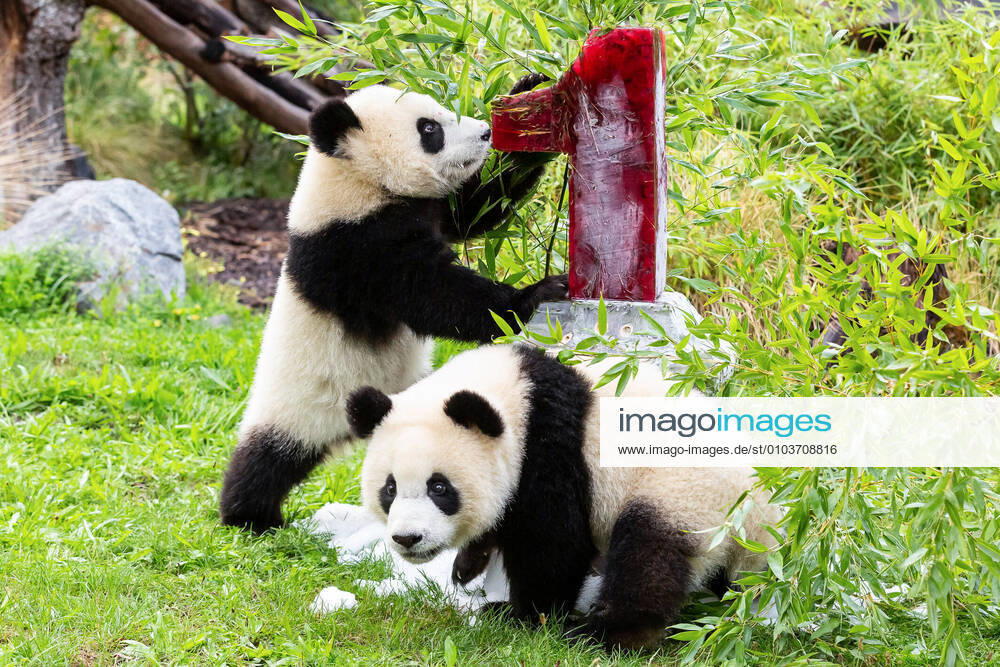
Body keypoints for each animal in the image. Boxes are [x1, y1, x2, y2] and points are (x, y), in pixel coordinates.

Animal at [220, 77, 566, 533]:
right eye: (429, 129)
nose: (483, 133)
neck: (357, 178)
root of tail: (347, 429)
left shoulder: (425, 210)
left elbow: (477, 208)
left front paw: (528, 112)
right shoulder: (354, 246)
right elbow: (431, 294)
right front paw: (535, 294)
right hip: (297, 402)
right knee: (267, 459)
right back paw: (249, 515)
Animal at [346, 345, 781, 650]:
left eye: (439, 488)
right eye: (390, 488)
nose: (408, 538)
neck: (517, 394)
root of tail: (766, 512)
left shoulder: (550, 452)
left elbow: (552, 546)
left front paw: (524, 616)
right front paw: (468, 564)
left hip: (686, 493)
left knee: (647, 559)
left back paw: (604, 634)